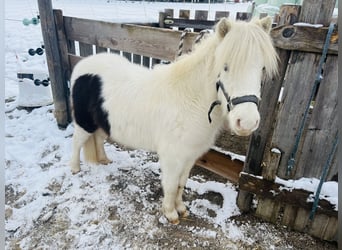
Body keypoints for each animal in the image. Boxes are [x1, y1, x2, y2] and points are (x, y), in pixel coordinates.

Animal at [69, 17, 278, 225]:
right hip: (84, 123)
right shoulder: (172, 156)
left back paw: (103, 161)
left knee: (98, 139)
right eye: (225, 67)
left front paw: (181, 209)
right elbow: (170, 185)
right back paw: (75, 169)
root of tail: (82, 65)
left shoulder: (189, 156)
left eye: (262, 69)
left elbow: (180, 184)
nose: (247, 122)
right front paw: (170, 214)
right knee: (77, 142)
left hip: (102, 123)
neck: (189, 101)